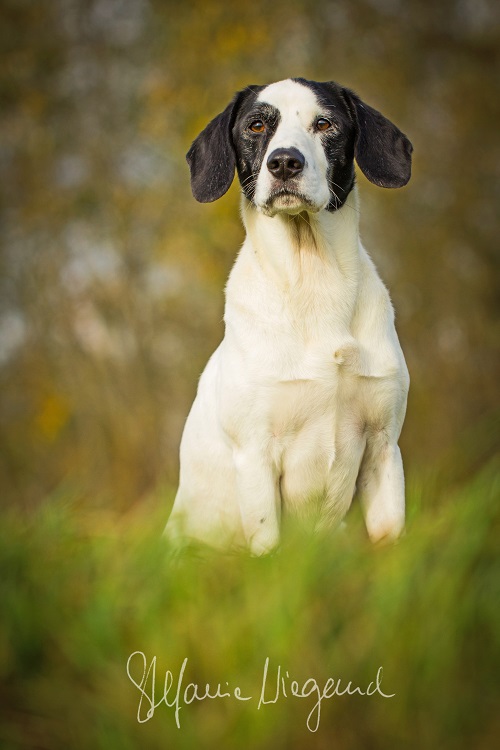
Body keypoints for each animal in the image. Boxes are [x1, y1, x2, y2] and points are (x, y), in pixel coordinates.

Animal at [166, 78, 412, 560]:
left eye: (325, 123)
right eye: (257, 125)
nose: (283, 162)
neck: (313, 285)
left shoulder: (383, 446)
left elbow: (390, 536)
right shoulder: (256, 454)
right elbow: (268, 543)